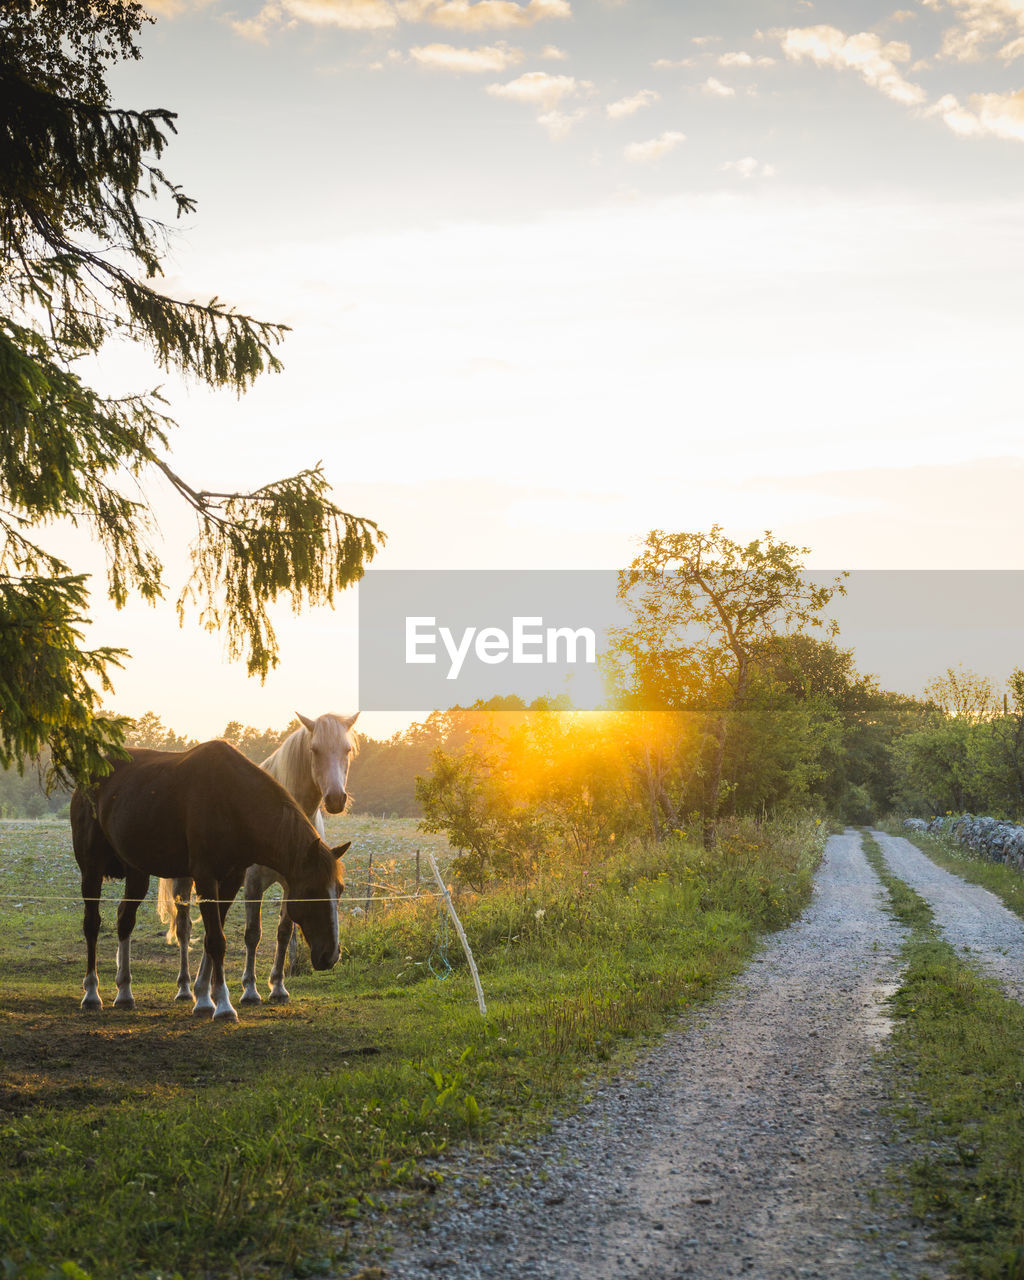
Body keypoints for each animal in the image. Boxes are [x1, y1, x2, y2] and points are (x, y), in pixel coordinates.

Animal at [71, 742, 353, 1018]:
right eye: (311, 891)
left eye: (339, 890)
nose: (331, 956)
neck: (232, 800)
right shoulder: (205, 878)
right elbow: (217, 941)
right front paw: (224, 1006)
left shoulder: (231, 880)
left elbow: (211, 938)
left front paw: (206, 999)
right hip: (91, 871)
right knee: (92, 925)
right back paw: (92, 994)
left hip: (137, 872)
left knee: (125, 920)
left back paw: (124, 993)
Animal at [154, 716, 358, 1003]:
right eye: (315, 749)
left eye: (347, 750)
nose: (336, 799)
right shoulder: (252, 884)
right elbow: (252, 934)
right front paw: (249, 989)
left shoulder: (291, 885)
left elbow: (284, 932)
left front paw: (278, 987)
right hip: (184, 881)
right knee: (184, 928)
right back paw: (184, 988)